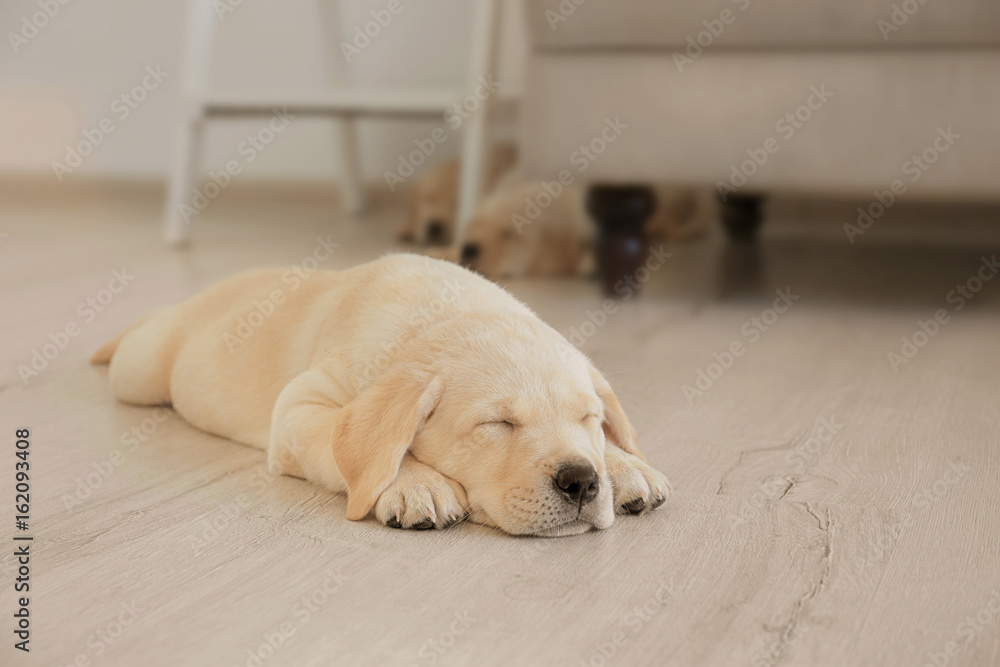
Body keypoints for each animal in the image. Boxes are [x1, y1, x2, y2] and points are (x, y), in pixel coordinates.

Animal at [94, 256, 672, 536]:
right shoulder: (299, 407)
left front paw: (624, 465)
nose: (581, 481)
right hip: (141, 373)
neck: (441, 315)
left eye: (589, 418)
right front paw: (416, 483)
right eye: (497, 425)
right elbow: (355, 448)